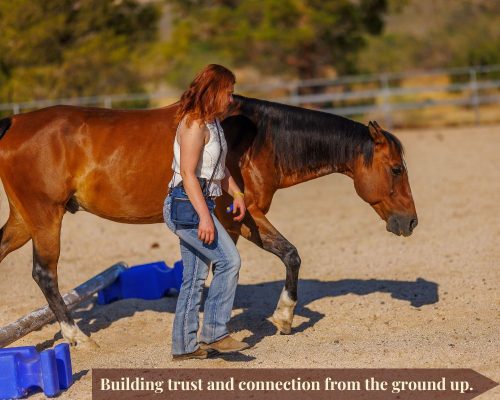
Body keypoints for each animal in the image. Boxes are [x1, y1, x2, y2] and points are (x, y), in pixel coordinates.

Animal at [0, 96, 416, 346]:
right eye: (396, 169)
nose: (410, 222)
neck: (260, 138)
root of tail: (15, 122)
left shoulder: (242, 219)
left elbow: (288, 256)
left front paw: (282, 318)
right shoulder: (237, 219)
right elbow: (260, 261)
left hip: (24, 220)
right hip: (45, 217)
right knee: (45, 274)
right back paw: (77, 337)